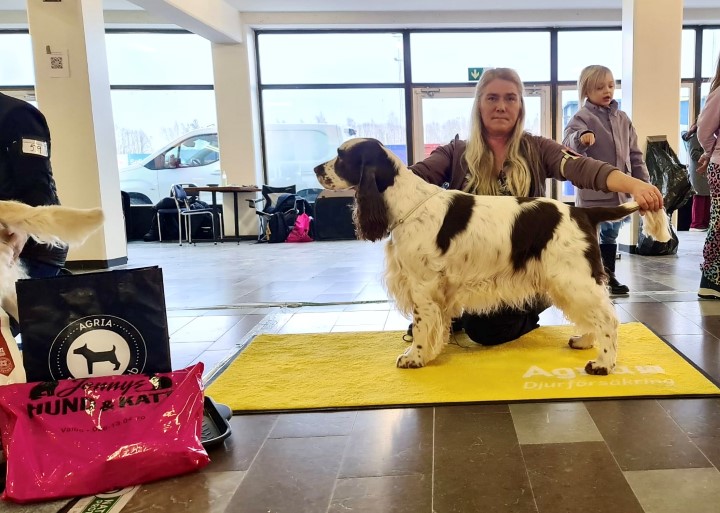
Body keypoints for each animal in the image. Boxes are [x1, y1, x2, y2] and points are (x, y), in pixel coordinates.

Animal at [312, 138, 672, 374]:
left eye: (341, 156)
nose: (316, 168)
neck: (405, 203)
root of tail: (582, 212)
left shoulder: (423, 285)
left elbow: (422, 324)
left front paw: (414, 357)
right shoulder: (436, 290)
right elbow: (436, 325)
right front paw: (431, 352)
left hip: (573, 278)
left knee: (608, 317)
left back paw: (603, 363)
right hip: (567, 280)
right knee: (593, 315)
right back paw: (584, 341)